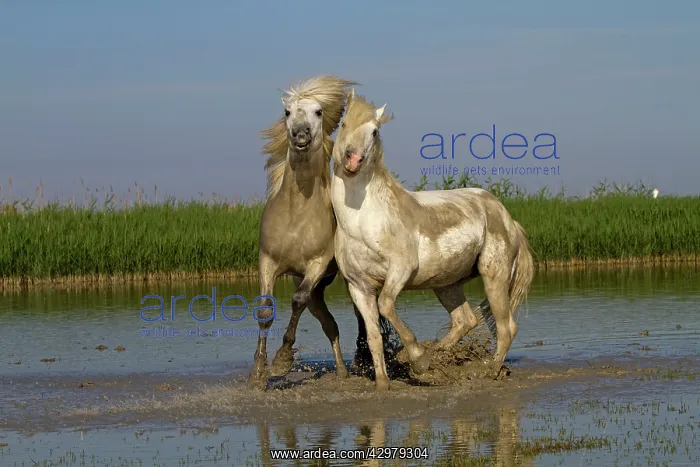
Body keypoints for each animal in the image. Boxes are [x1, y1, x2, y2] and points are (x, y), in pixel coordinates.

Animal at [249, 75, 384, 390]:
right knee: (329, 324)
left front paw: (281, 361)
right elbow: (265, 310)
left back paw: (360, 362)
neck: (296, 216)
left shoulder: (317, 264)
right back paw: (343, 371)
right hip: (318, 292)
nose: (300, 135)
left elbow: (296, 301)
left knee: (359, 319)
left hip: (344, 280)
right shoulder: (267, 261)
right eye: (287, 112)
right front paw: (258, 374)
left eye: (319, 112)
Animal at [330, 89, 535, 391]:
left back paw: (486, 371)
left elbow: (386, 304)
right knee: (465, 320)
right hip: (447, 284)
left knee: (506, 327)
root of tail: (507, 217)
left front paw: (419, 360)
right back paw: (439, 355)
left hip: (494, 276)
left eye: (375, 132)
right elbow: (374, 337)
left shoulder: (400, 269)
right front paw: (383, 384)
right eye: (344, 124)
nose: (352, 159)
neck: (361, 220)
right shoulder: (358, 286)